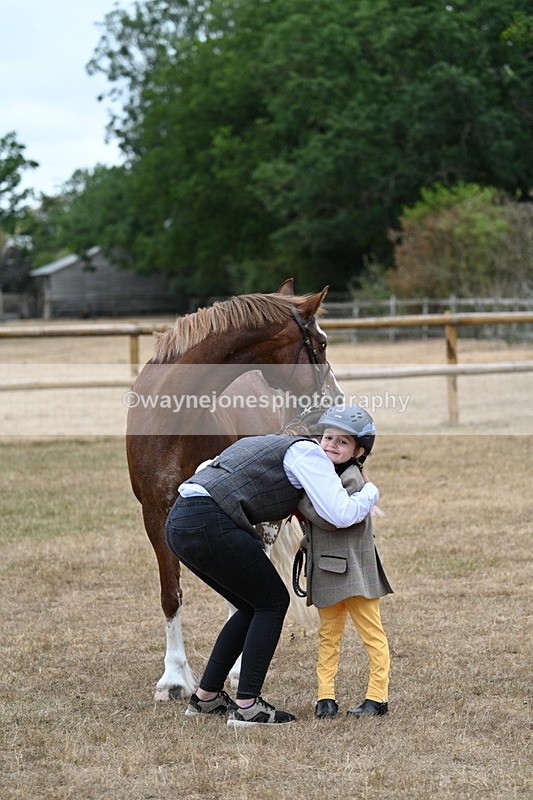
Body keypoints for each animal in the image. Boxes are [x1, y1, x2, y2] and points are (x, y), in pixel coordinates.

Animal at [126, 278, 342, 700]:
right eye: (321, 344)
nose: (336, 399)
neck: (176, 416)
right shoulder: (154, 515)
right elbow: (170, 594)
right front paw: (173, 678)